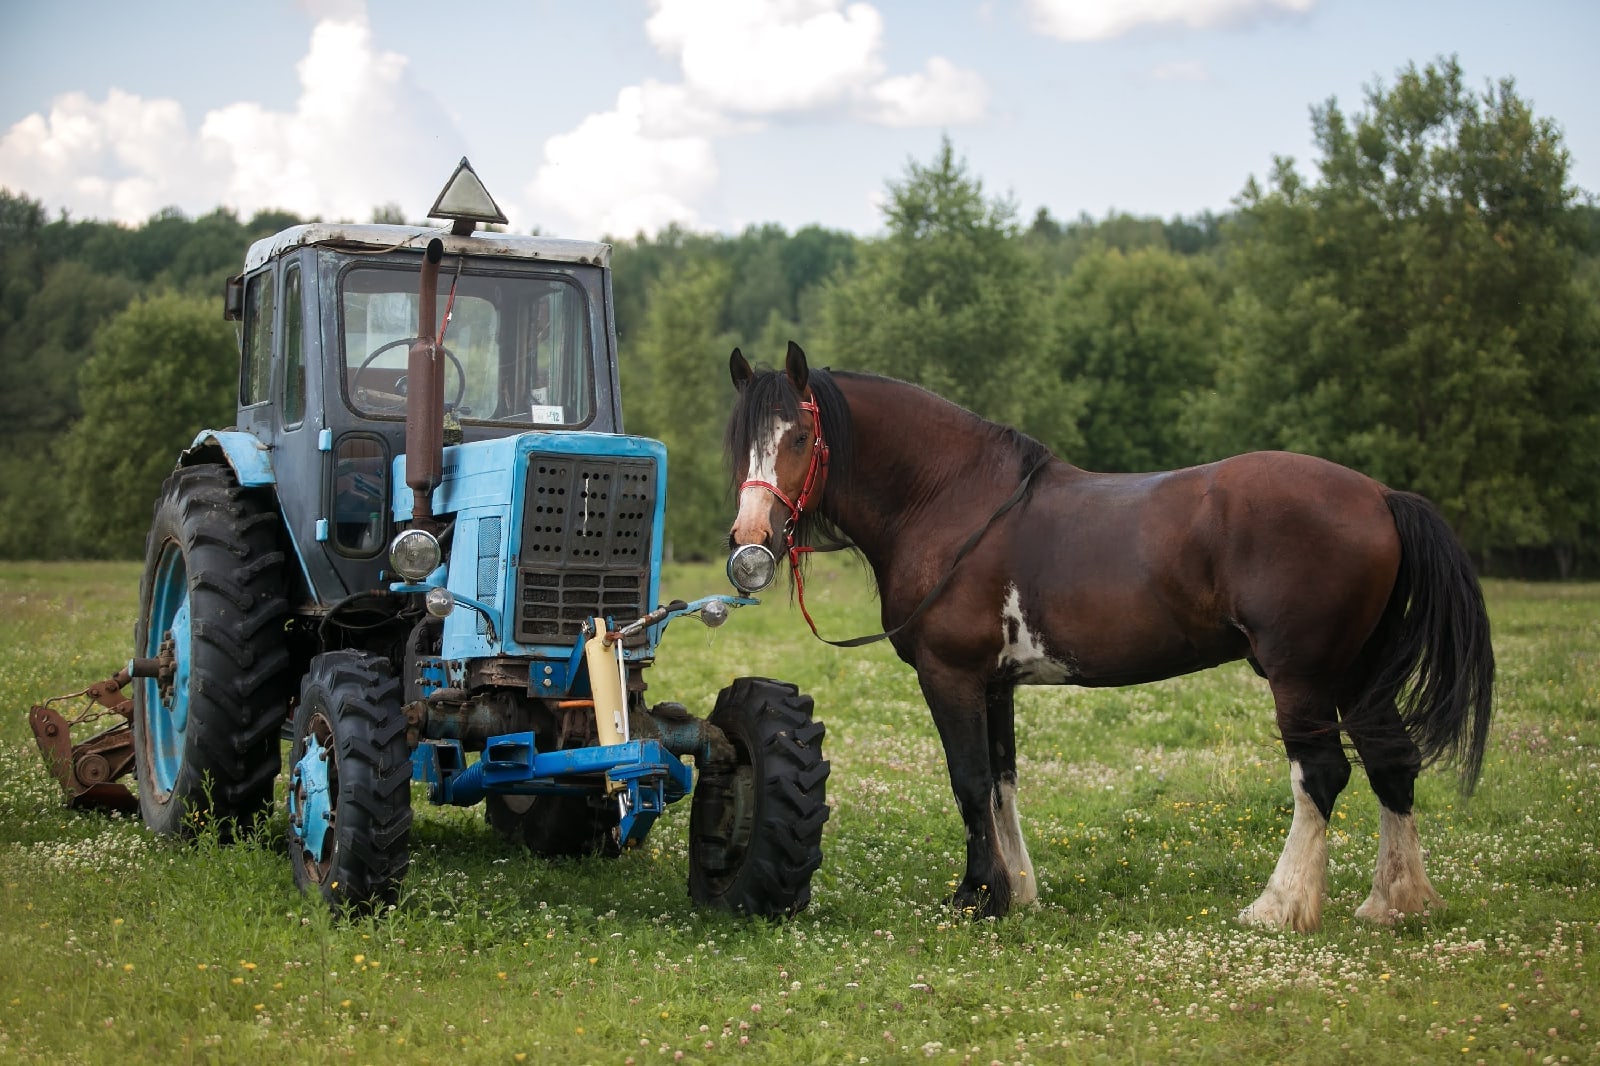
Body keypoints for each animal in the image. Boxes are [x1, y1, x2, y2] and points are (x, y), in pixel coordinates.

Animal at [732, 342, 1491, 928]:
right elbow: (1003, 783)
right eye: (741, 440)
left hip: (1302, 675)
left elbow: (969, 782)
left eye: (799, 437)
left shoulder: (950, 675)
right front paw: (1018, 892)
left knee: (1322, 775)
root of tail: (1380, 497)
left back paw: (1278, 906)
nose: (750, 539)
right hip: (1359, 672)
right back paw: (1396, 902)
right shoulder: (996, 683)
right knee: (1392, 762)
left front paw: (977, 897)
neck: (952, 501)